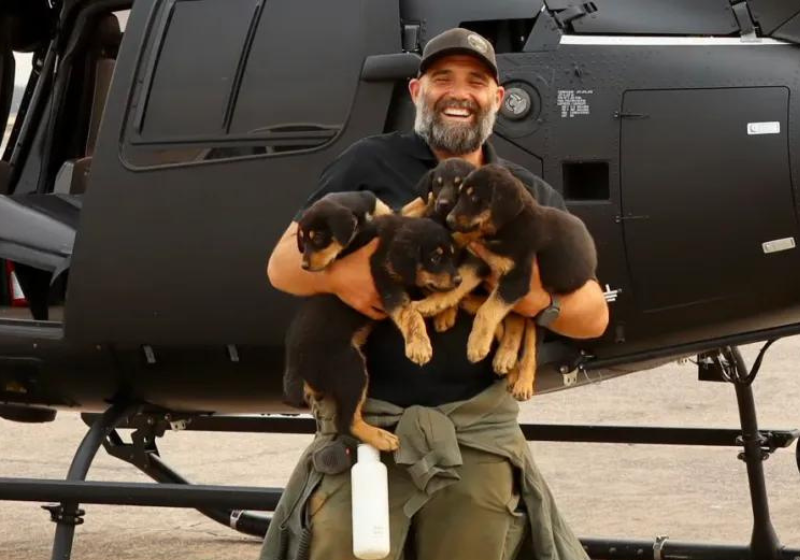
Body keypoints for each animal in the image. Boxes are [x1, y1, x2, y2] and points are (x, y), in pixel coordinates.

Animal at [282, 214, 460, 450]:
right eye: (435, 257)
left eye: (452, 255)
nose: (459, 280)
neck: (392, 237)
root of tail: (295, 363)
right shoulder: (386, 281)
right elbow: (410, 312)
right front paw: (420, 346)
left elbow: (431, 293)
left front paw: (446, 313)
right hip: (350, 367)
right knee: (345, 422)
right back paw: (380, 437)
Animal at [446, 164, 596, 400]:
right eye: (460, 195)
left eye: (476, 198)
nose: (448, 221)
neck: (510, 224)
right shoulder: (485, 262)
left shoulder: (517, 280)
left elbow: (488, 311)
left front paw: (476, 345)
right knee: (512, 326)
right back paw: (504, 358)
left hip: (538, 316)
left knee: (529, 352)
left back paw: (522, 383)